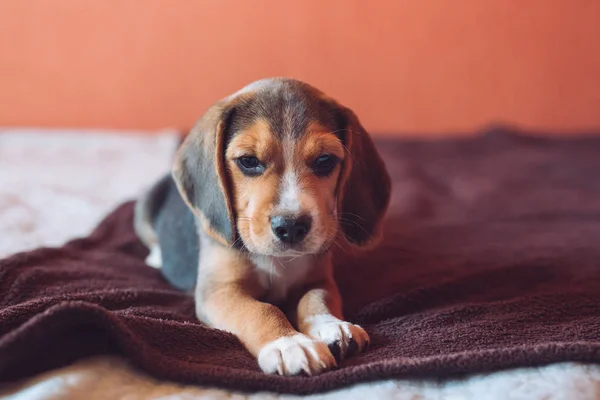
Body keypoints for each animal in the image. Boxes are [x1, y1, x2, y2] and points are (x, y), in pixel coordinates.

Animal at [134, 77, 392, 376]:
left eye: (325, 160)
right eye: (248, 161)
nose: (291, 226)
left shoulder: (319, 279)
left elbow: (316, 299)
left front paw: (332, 326)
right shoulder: (219, 291)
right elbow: (261, 311)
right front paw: (290, 344)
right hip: (145, 205)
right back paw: (156, 257)